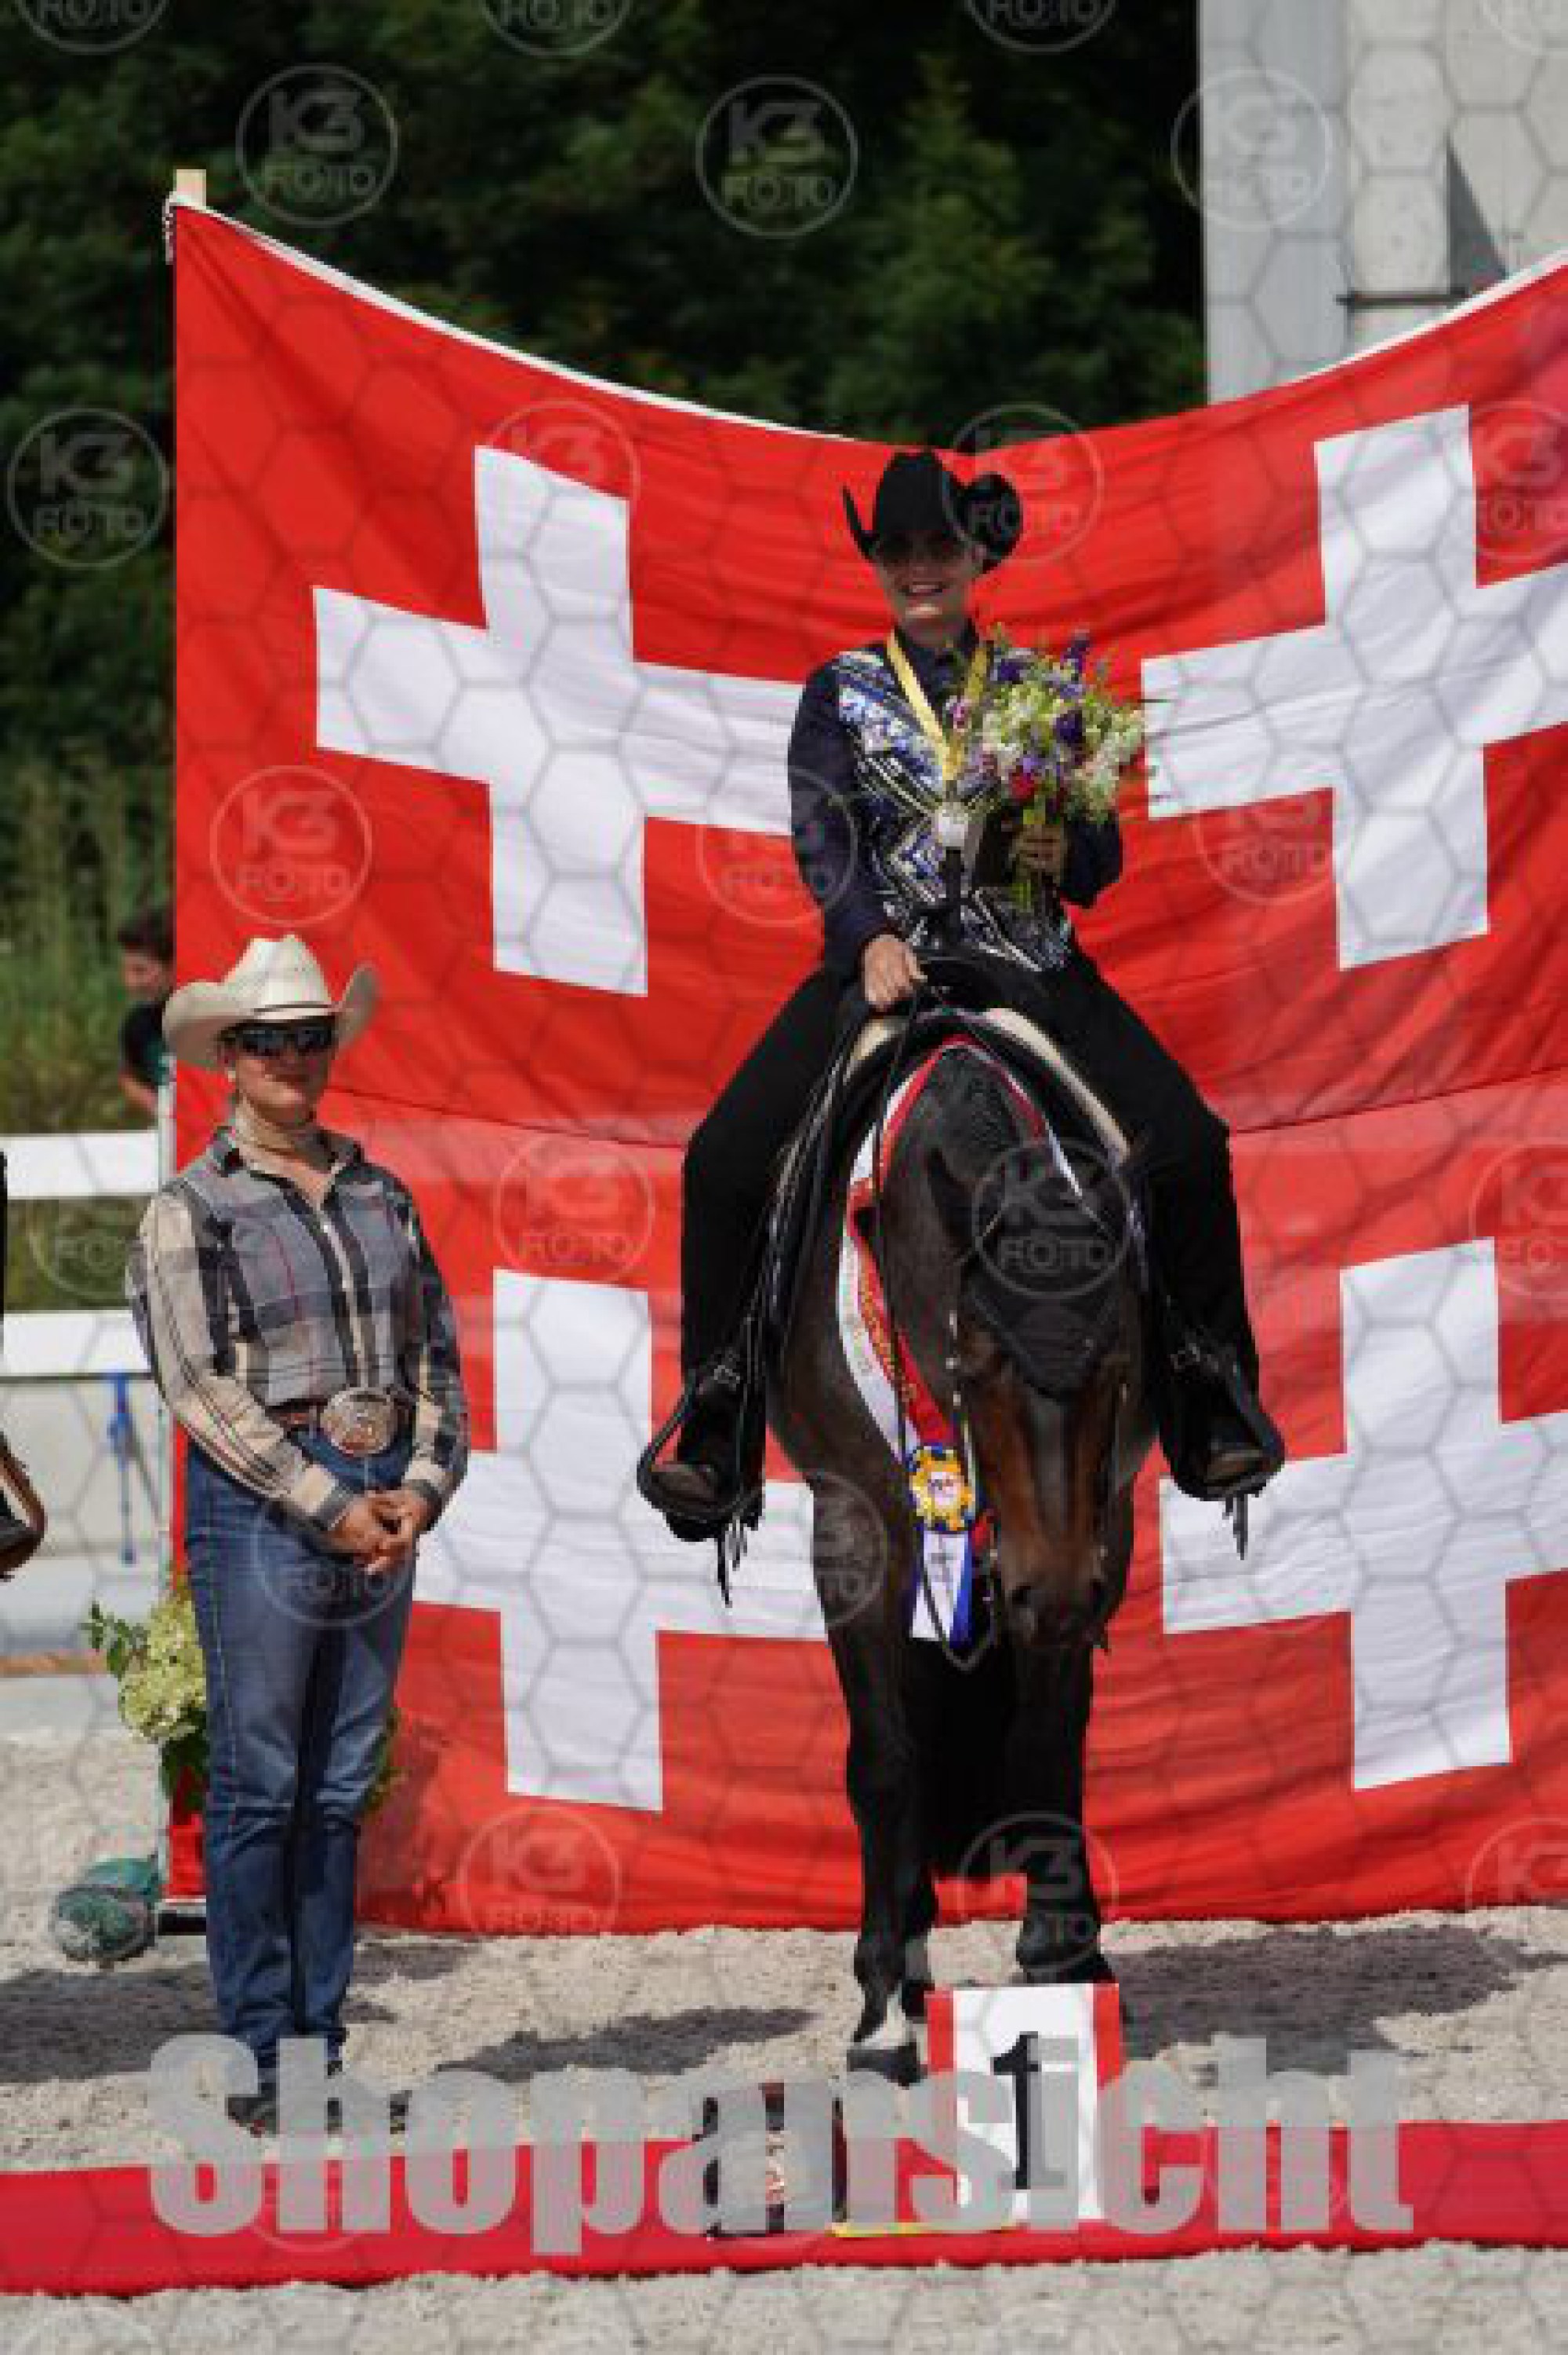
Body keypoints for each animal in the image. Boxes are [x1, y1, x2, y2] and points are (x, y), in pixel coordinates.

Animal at [768, 985, 1156, 2078]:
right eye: (974, 1365)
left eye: (1118, 1363)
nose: (1051, 1595)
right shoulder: (854, 1535)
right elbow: (882, 1758)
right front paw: (878, 2012)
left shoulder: (1096, 1534)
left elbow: (1047, 1735)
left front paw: (1062, 1952)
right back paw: (904, 1962)